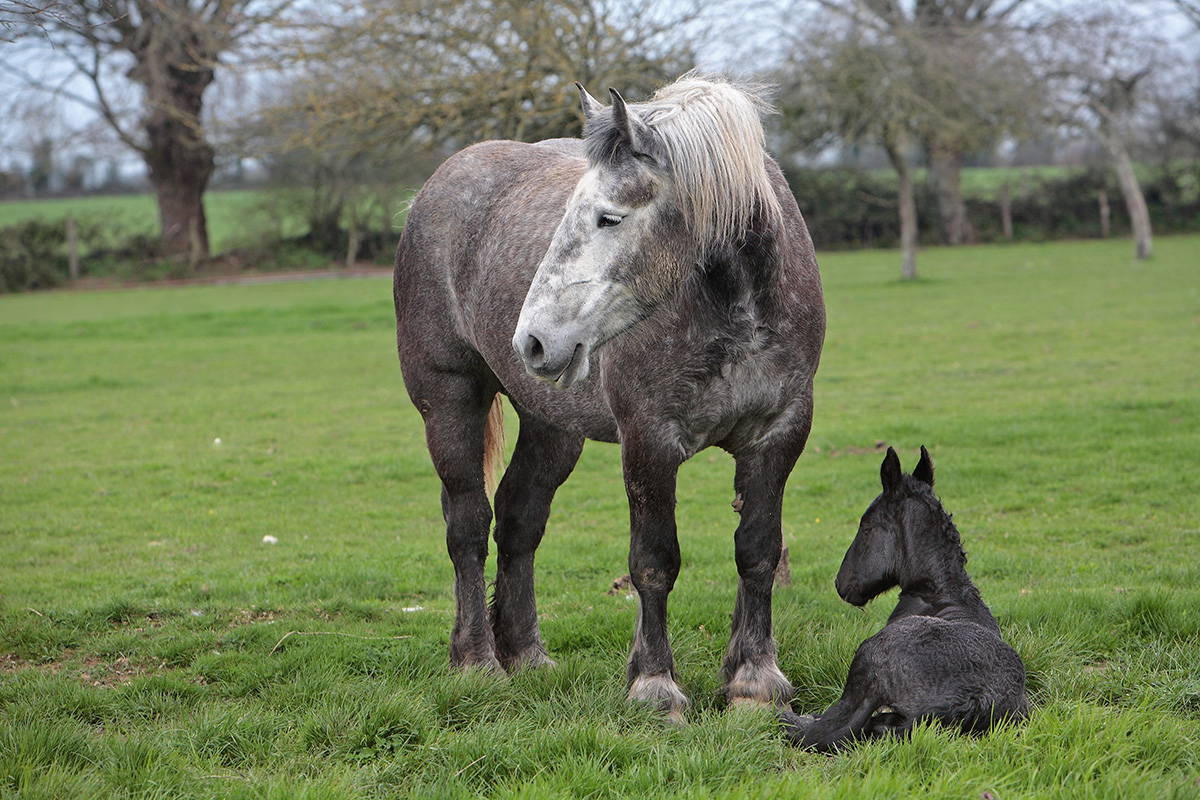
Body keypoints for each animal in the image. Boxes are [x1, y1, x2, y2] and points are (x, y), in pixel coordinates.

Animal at [787, 448, 1032, 753]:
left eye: (866, 527)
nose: (841, 585)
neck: (938, 593)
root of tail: (974, 701)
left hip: (863, 671)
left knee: (822, 731)